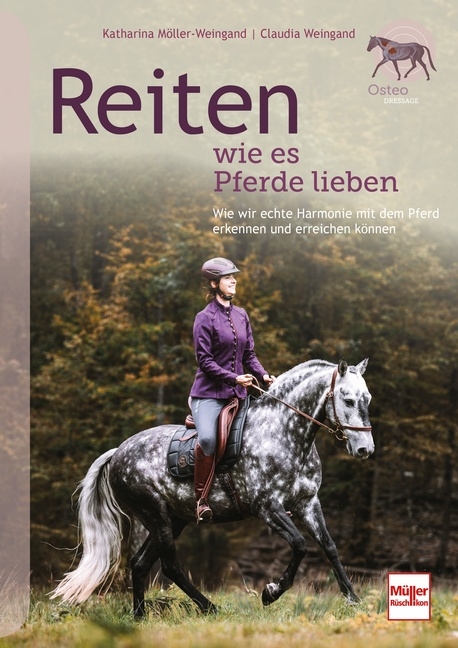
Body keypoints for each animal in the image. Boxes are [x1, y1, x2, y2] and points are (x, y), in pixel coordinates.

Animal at [50, 358, 374, 618]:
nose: (365, 449)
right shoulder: (267, 507)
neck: (283, 432)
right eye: (347, 400)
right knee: (170, 566)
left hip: (173, 519)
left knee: (140, 563)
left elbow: (329, 547)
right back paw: (209, 607)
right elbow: (299, 545)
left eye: (367, 399)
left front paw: (354, 600)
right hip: (156, 515)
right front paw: (270, 592)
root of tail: (118, 452)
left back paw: (140, 616)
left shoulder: (308, 503)